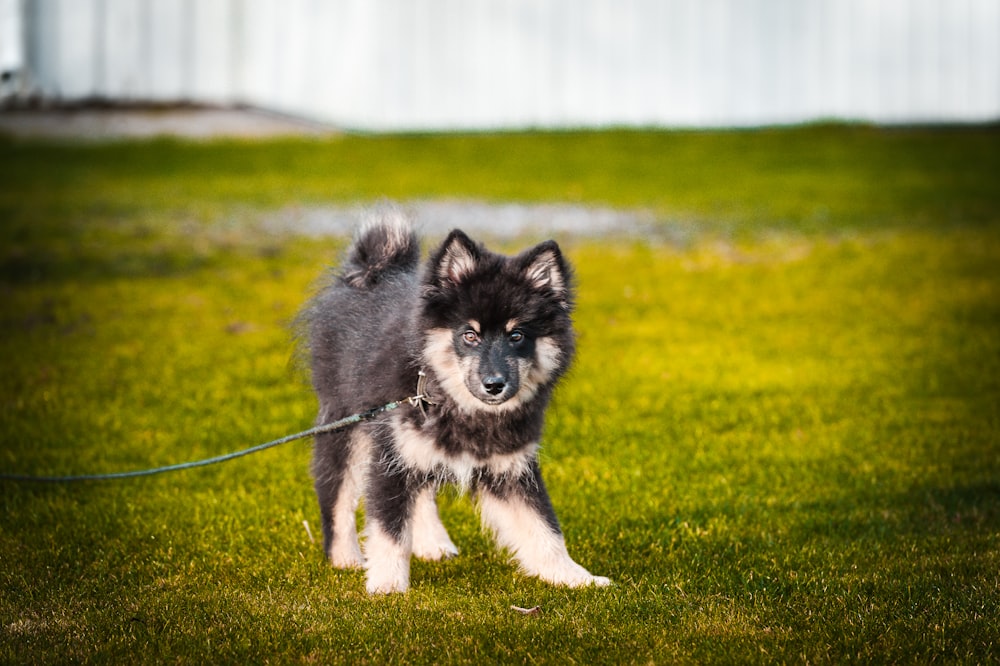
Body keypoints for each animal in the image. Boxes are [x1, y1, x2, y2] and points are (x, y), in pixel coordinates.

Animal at [298, 208, 608, 592]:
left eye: (517, 335)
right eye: (470, 335)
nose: (495, 384)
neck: (452, 401)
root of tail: (369, 272)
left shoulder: (510, 466)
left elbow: (544, 528)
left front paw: (575, 577)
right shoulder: (390, 456)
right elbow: (389, 531)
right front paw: (387, 588)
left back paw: (433, 543)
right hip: (347, 427)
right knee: (336, 496)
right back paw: (345, 557)